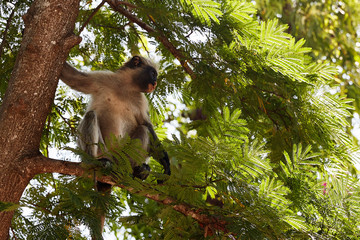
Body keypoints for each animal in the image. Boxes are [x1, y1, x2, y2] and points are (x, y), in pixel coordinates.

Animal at [59, 56, 171, 238]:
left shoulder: (141, 100)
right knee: (91, 116)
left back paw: (136, 171)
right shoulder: (103, 79)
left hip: (124, 156)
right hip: (101, 150)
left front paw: (166, 165)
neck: (125, 87)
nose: (155, 83)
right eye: (153, 74)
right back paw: (95, 162)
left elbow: (146, 124)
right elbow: (72, 78)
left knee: (143, 129)